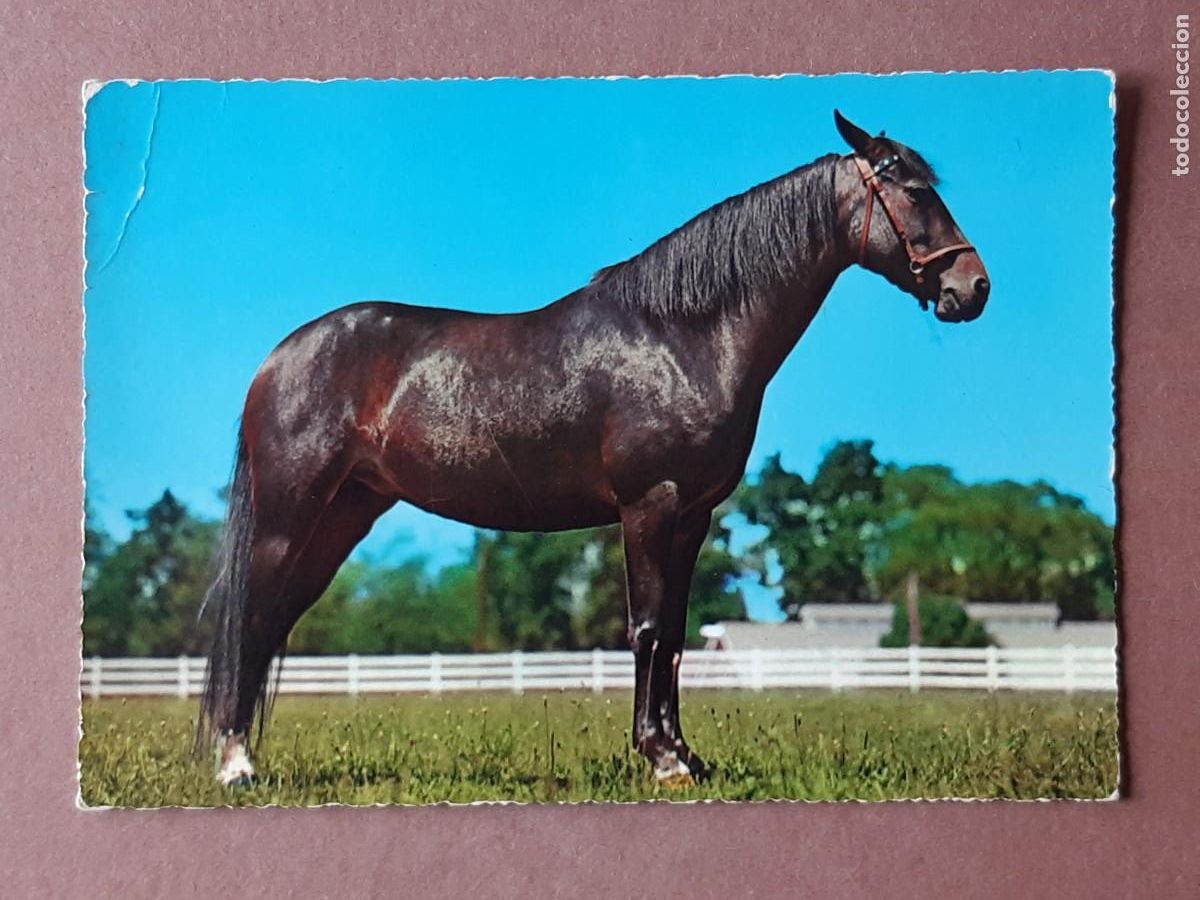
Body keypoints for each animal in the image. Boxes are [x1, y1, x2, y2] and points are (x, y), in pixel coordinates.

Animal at [198, 110, 991, 788]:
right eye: (912, 189)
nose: (973, 287)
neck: (683, 335)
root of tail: (280, 358)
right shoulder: (649, 505)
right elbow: (646, 629)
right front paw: (661, 759)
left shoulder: (693, 516)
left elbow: (675, 634)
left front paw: (685, 755)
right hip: (288, 517)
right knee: (251, 618)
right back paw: (236, 764)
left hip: (343, 517)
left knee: (274, 619)